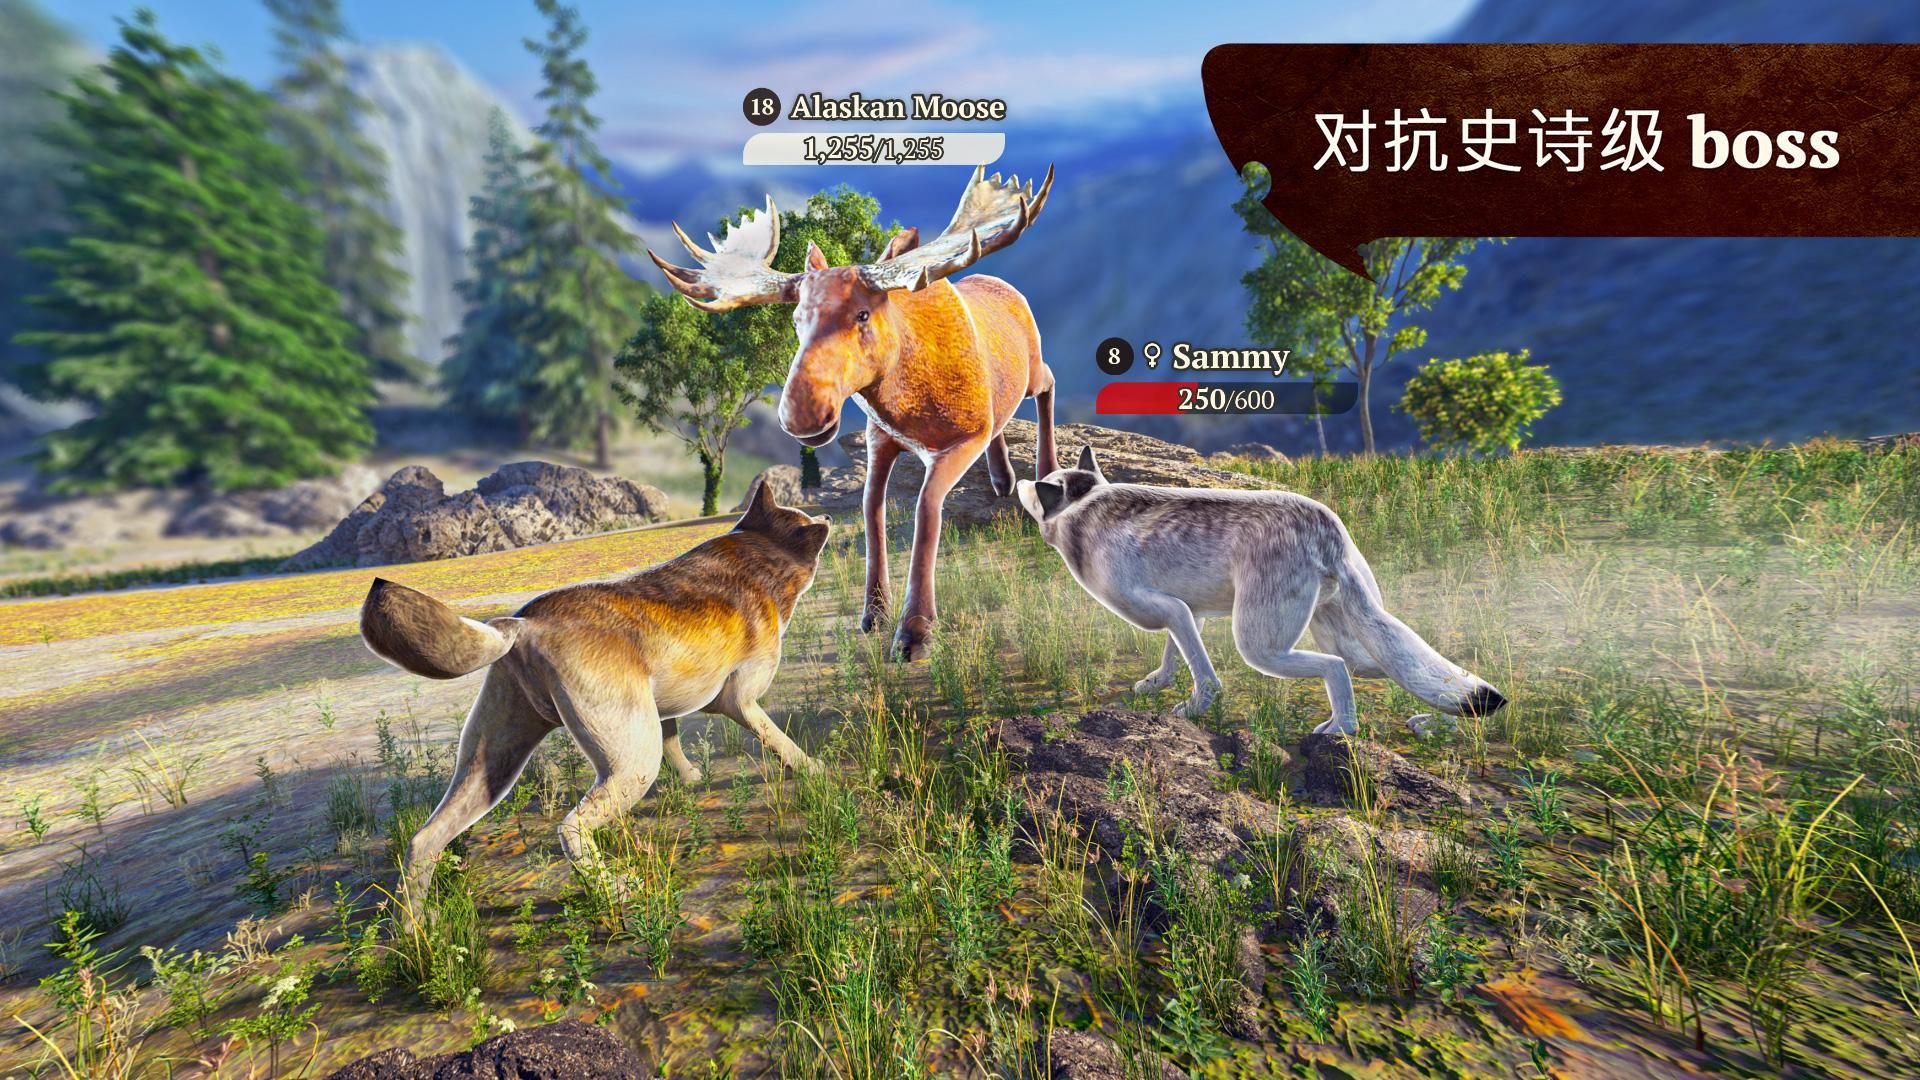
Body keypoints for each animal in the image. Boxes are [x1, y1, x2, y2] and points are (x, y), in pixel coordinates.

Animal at [358, 481, 829, 908]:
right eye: (802, 519)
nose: (826, 514)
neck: (758, 552)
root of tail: (523, 625)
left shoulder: (662, 713)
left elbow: (676, 740)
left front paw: (692, 779)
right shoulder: (740, 701)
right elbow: (779, 740)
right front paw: (816, 770)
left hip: (491, 766)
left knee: (423, 840)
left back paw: (417, 930)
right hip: (632, 765)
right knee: (571, 828)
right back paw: (616, 892)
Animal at [1015, 447, 1506, 735]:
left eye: (1040, 489)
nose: (1018, 482)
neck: (1084, 507)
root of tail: (1327, 529)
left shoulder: (1167, 609)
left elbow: (1204, 676)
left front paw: (1194, 708)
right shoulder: (1188, 611)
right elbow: (1175, 654)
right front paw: (1157, 682)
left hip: (1261, 647)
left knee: (1335, 669)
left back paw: (1341, 729)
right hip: (1354, 643)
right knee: (1418, 674)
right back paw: (1431, 724)